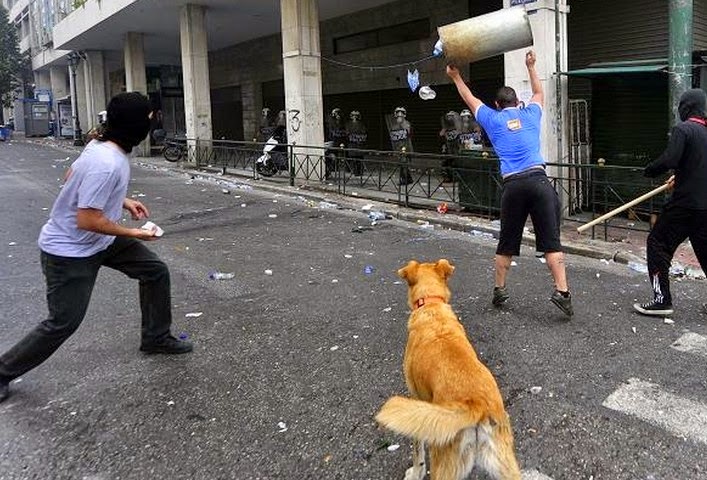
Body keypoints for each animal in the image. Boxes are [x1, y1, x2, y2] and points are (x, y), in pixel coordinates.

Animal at [376, 260, 520, 478]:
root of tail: (476, 405)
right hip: (504, 462)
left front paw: (415, 472)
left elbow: (417, 450)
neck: (431, 304)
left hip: (443, 459)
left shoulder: (417, 402)